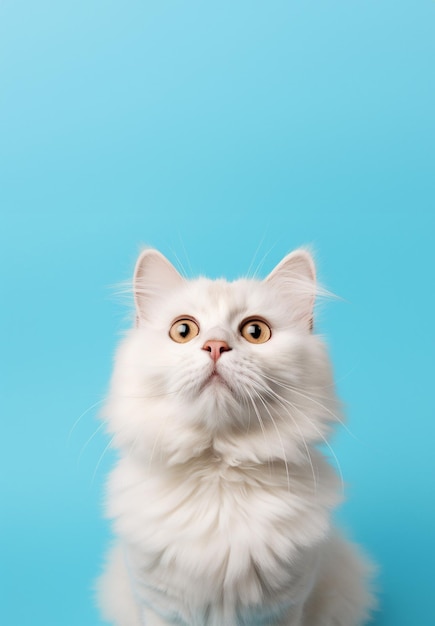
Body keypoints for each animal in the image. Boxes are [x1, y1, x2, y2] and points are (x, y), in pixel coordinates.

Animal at [97, 249, 376, 624]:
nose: (215, 346)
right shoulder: (158, 607)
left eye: (255, 331)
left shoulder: (285, 607)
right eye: (183, 330)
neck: (218, 473)